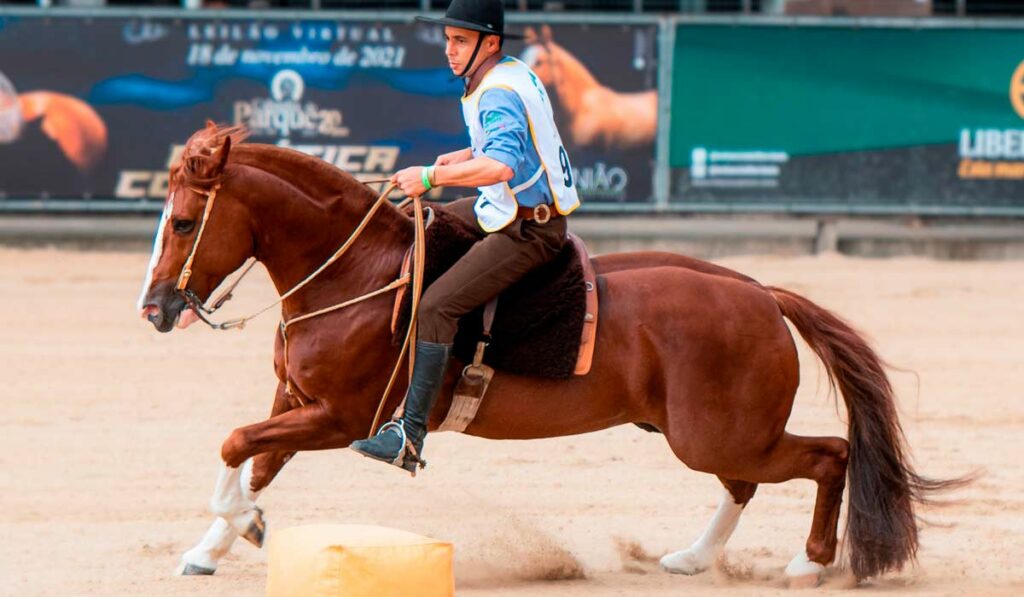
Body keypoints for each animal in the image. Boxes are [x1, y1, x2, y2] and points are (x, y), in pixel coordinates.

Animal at [140, 123, 954, 585]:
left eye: (181, 222)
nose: (154, 309)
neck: (360, 275)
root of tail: (760, 293)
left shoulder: (339, 418)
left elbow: (235, 443)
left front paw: (246, 525)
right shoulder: (297, 404)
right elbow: (256, 460)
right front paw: (215, 543)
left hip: (719, 433)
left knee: (828, 456)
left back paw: (809, 563)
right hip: (711, 432)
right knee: (747, 482)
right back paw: (693, 559)